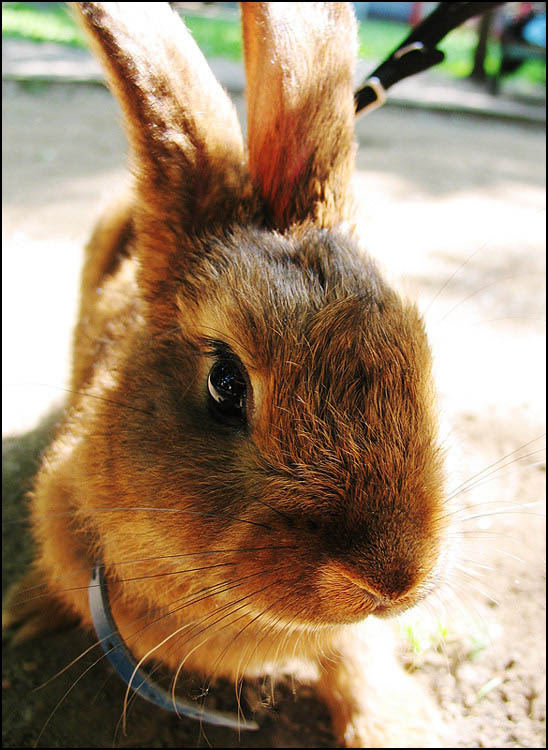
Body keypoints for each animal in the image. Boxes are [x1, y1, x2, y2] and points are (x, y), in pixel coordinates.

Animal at [2, 2, 451, 746]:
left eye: (419, 352)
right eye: (226, 383)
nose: (390, 578)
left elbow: (356, 657)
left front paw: (397, 727)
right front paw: (27, 609)